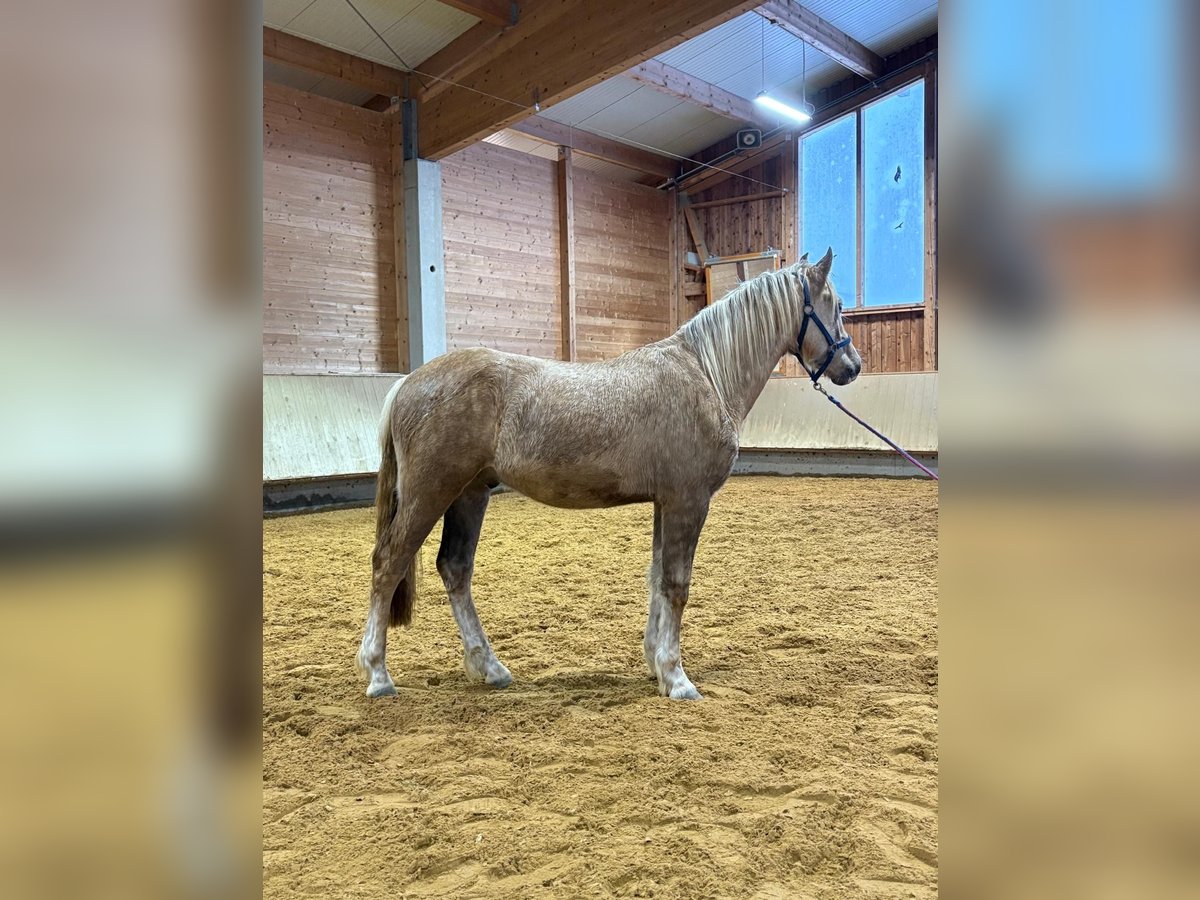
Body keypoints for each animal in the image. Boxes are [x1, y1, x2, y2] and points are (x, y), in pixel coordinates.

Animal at [355, 247, 861, 701]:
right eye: (835, 305)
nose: (852, 366)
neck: (706, 373)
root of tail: (409, 382)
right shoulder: (688, 500)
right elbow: (676, 584)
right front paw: (677, 679)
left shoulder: (665, 502)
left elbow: (657, 578)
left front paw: (656, 664)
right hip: (430, 492)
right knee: (389, 562)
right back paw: (378, 674)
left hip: (469, 493)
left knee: (455, 568)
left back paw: (490, 667)